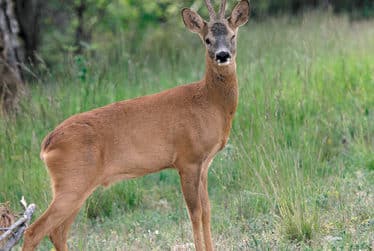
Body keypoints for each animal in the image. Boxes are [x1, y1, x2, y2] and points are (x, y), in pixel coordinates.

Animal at [24, 0, 251, 250]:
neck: (209, 102)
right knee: (34, 231)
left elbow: (208, 211)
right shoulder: (187, 159)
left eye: (232, 35)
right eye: (207, 39)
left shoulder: (204, 164)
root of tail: (47, 144)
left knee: (58, 231)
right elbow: (195, 213)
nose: (222, 55)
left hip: (76, 186)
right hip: (72, 182)